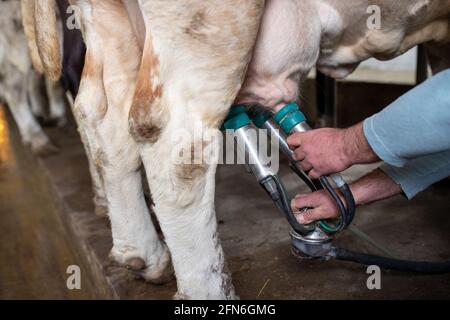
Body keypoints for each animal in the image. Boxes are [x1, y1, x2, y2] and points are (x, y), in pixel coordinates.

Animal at [26, 0, 450, 300]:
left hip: (109, 24)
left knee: (102, 116)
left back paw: (144, 255)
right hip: (209, 29)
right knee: (177, 146)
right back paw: (208, 291)